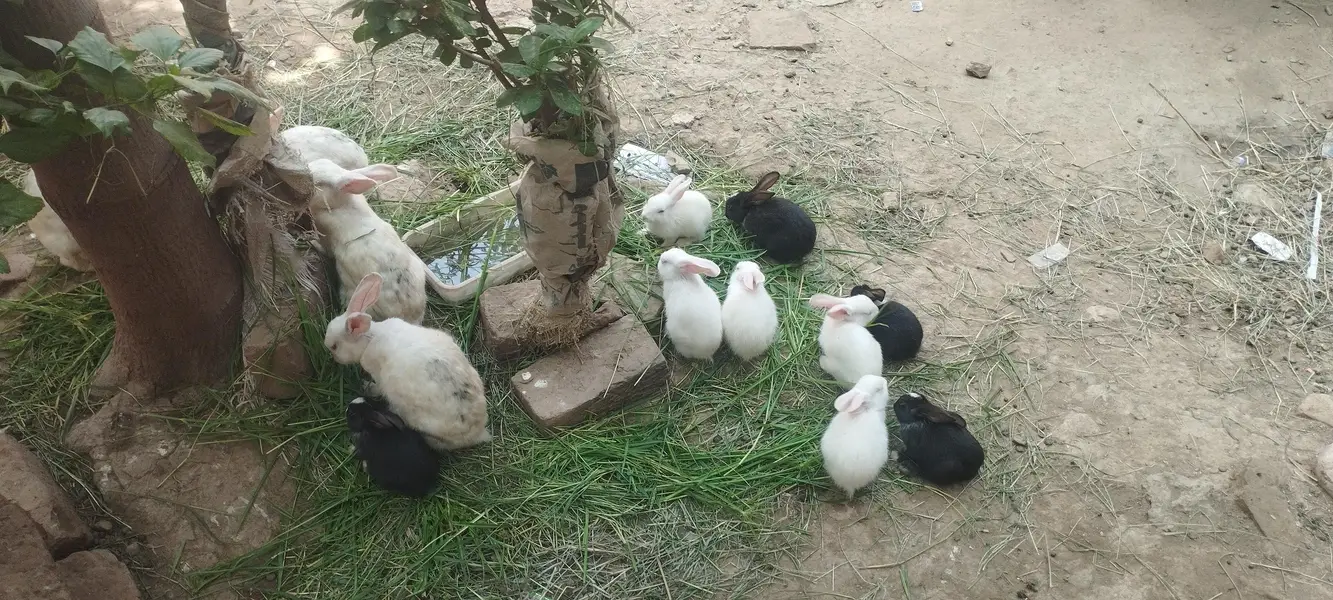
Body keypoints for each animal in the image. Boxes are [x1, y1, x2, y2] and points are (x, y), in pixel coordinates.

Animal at [307, 158, 427, 325]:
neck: (339, 205)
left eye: (317, 183)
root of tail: (409, 316)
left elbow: (324, 248)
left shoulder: (326, 238)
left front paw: (312, 241)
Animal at [327, 272, 492, 451]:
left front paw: (366, 387)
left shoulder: (379, 376)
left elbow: (377, 388)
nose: (334, 358)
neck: (370, 337)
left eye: (334, 346)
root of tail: (478, 432)